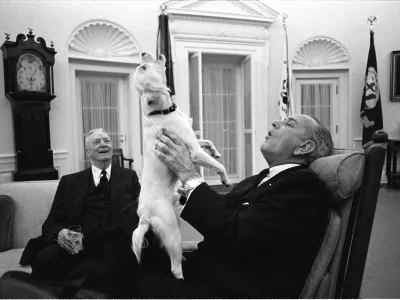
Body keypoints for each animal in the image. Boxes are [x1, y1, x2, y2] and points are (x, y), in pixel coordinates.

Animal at [132, 52, 231, 278]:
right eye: (143, 67)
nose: (142, 53)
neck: (160, 112)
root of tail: (144, 216)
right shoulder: (193, 152)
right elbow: (218, 165)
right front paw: (225, 179)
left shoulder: (193, 142)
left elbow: (207, 142)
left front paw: (216, 151)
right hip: (173, 230)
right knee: (174, 268)